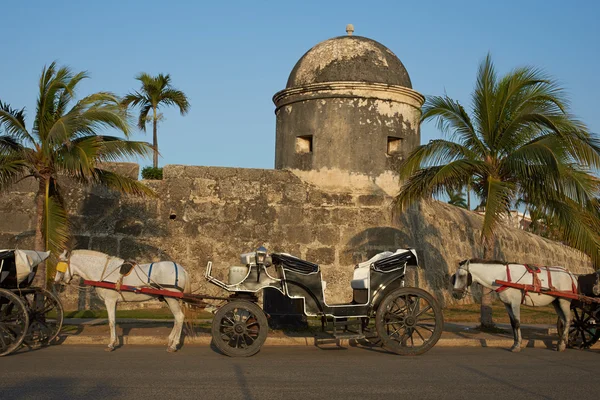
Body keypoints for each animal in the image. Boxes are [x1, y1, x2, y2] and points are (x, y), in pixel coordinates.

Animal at [54, 250, 190, 354]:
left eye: (60, 267)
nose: (56, 284)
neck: (102, 271)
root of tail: (182, 269)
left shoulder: (109, 301)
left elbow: (111, 322)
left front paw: (111, 344)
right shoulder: (114, 301)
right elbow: (114, 321)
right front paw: (115, 342)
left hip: (171, 298)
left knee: (179, 317)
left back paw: (174, 345)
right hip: (168, 298)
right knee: (176, 318)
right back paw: (171, 340)